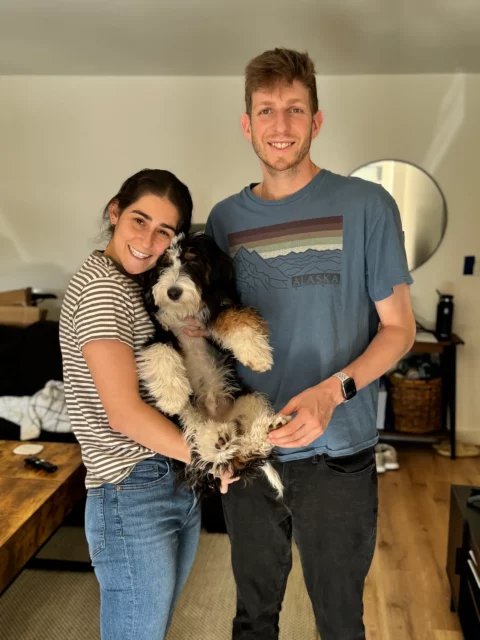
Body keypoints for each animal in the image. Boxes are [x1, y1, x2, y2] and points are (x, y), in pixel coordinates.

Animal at [139, 232, 288, 498]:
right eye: (163, 264)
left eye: (192, 261)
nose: (173, 292)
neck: (182, 313)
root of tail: (217, 418)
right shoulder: (155, 332)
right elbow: (160, 350)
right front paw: (171, 396)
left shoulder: (220, 305)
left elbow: (234, 317)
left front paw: (257, 353)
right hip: (186, 419)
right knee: (206, 452)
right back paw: (218, 440)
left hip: (249, 399)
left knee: (244, 452)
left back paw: (266, 430)